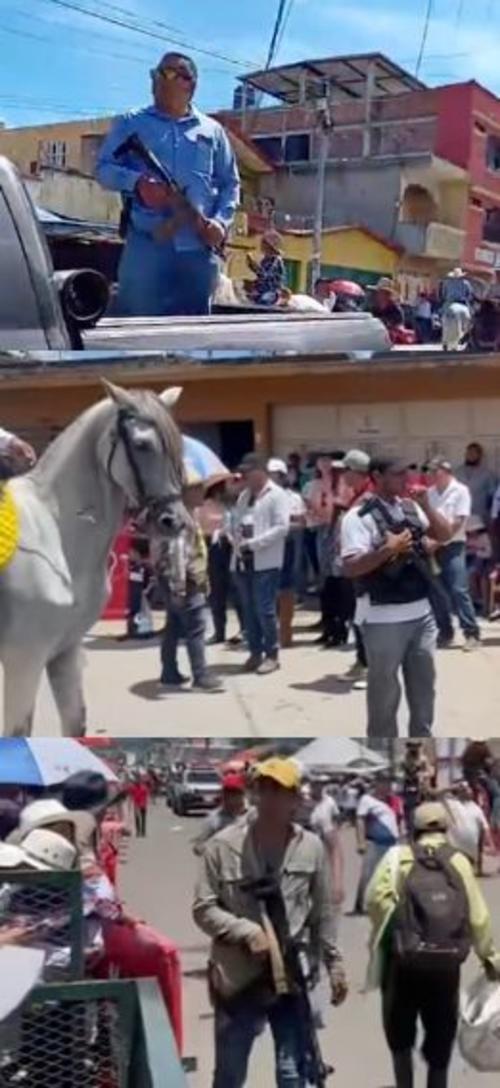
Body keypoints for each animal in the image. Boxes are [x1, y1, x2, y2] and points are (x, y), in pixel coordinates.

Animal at [0, 378, 185, 735]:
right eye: (141, 445)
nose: (174, 521)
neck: (53, 532)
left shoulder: (65, 651)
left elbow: (75, 725)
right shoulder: (23, 659)